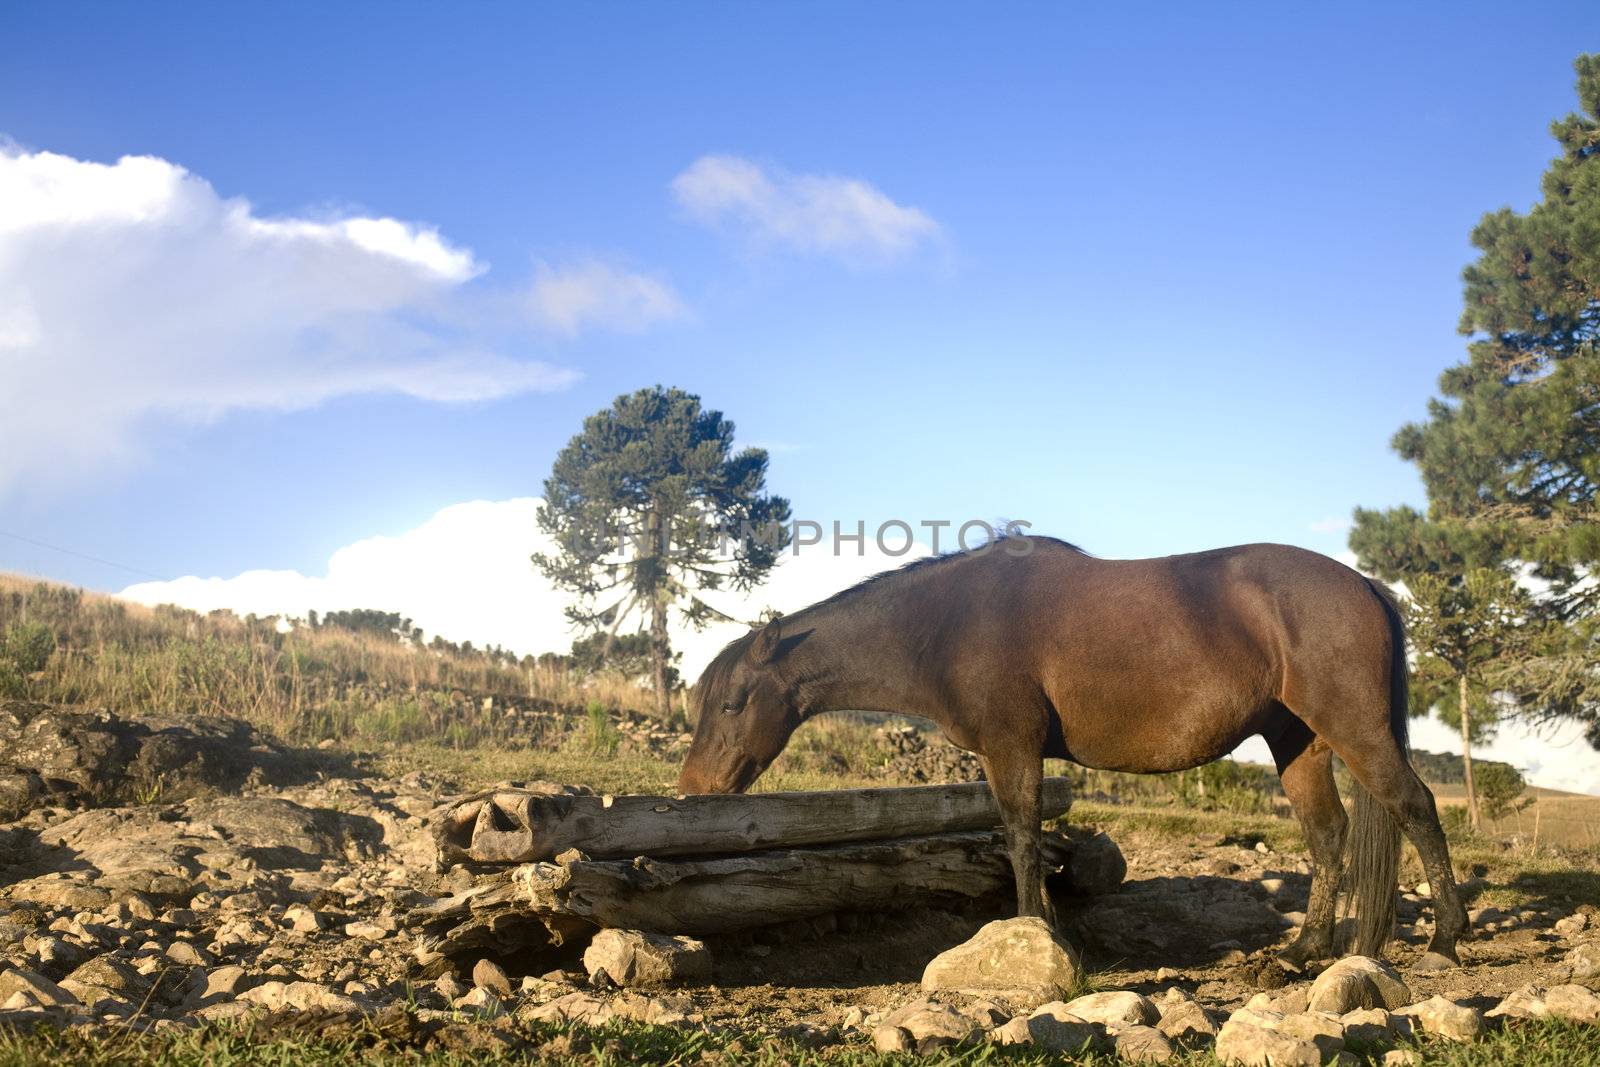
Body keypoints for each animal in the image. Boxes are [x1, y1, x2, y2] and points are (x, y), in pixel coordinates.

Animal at [681, 537, 1465, 972]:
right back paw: (1306, 952)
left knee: (1415, 808)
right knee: (1331, 836)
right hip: (1297, 740)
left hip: (1355, 730)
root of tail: (1364, 584)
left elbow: (1022, 839)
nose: (693, 788)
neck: (947, 623)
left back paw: (1440, 942)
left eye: (731, 703)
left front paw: (1034, 932)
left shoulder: (1011, 748)